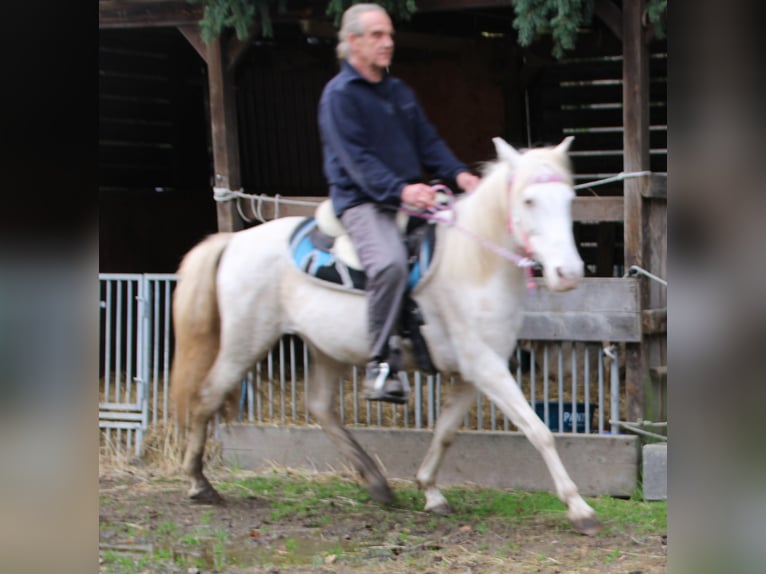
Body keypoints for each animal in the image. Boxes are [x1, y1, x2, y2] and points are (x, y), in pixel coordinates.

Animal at [171, 135, 604, 536]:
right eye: (528, 200)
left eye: (568, 199)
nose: (568, 273)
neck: (474, 264)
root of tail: (235, 241)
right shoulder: (485, 366)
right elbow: (540, 431)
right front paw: (579, 508)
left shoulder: (474, 372)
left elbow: (445, 432)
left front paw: (430, 491)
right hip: (245, 341)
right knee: (207, 396)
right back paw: (198, 483)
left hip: (327, 349)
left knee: (320, 407)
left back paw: (377, 484)